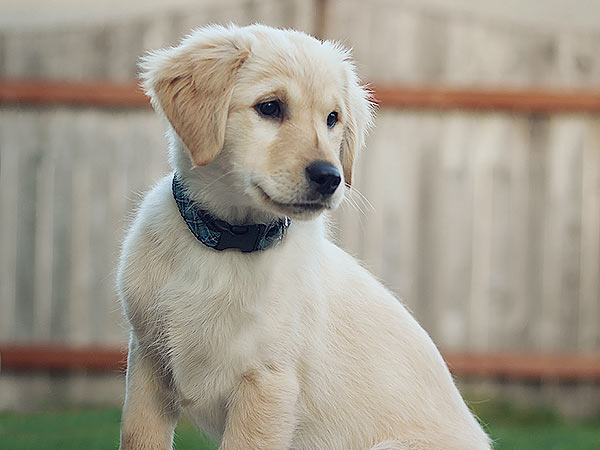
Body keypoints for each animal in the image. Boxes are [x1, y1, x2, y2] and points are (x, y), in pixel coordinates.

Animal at [118, 24, 492, 450]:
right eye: (269, 107)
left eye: (332, 118)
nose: (330, 177)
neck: (227, 241)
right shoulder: (147, 361)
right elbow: (138, 437)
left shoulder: (267, 382)